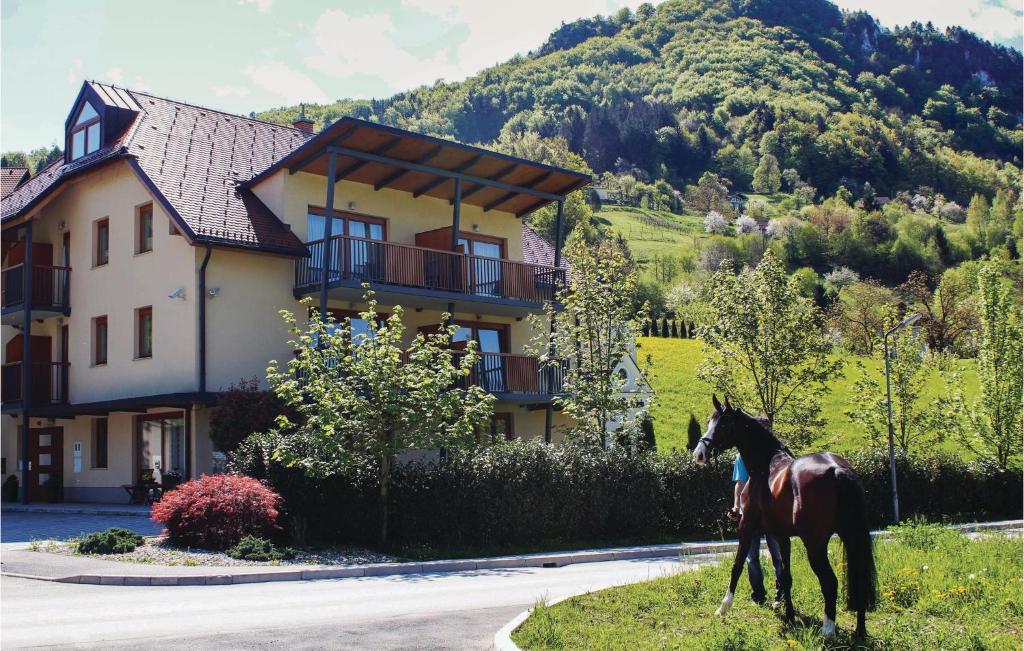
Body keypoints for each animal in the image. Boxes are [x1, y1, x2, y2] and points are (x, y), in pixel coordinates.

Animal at [692, 395, 876, 638]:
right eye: (709, 421)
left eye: (723, 424)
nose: (699, 454)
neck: (766, 467)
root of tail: (837, 469)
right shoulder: (781, 535)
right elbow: (785, 575)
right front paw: (789, 615)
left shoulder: (747, 528)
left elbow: (737, 565)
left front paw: (723, 607)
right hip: (850, 536)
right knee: (860, 579)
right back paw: (860, 631)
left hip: (815, 545)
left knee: (830, 582)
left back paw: (828, 629)